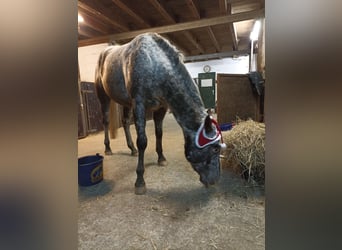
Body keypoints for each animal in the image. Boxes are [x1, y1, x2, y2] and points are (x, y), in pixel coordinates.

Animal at [95, 32, 226, 194]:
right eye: (215, 148)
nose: (214, 180)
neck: (154, 63)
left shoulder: (161, 107)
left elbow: (159, 133)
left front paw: (161, 158)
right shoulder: (139, 105)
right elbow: (142, 141)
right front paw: (140, 182)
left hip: (126, 102)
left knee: (125, 122)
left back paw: (132, 149)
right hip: (104, 97)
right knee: (106, 121)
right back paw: (108, 149)